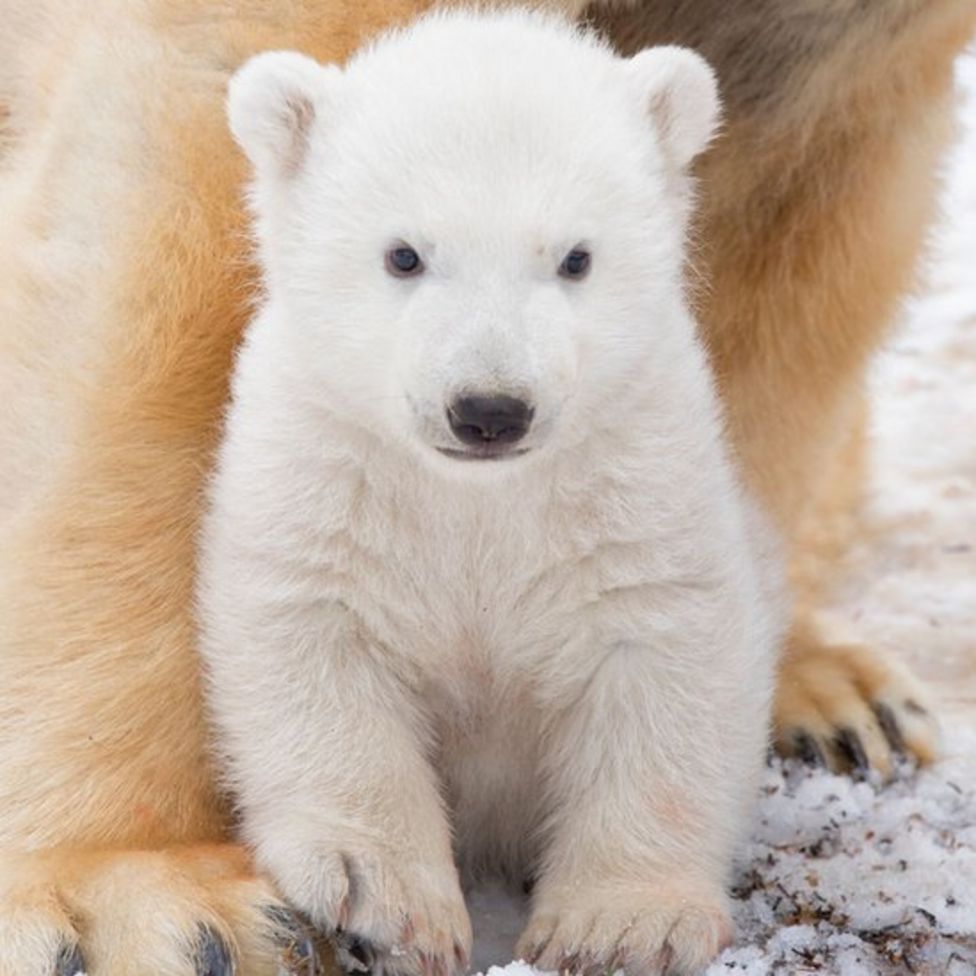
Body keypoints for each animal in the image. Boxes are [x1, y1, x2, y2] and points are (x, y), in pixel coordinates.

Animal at [0, 0, 972, 972]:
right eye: (403, 257)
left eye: (576, 260)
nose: (490, 410)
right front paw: (139, 896)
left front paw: (621, 917)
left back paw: (846, 702)